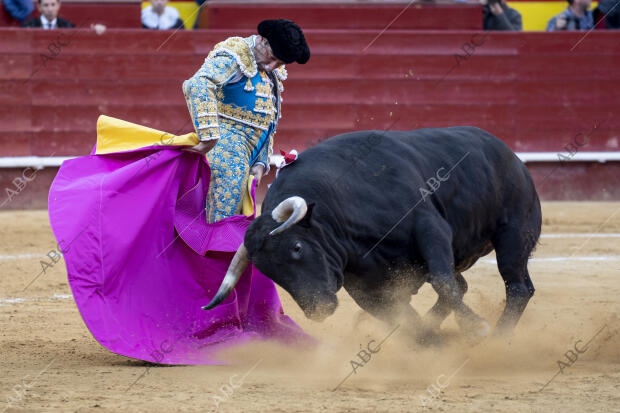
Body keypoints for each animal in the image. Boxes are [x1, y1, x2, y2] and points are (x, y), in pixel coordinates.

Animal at [202, 125, 536, 342]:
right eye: (268, 272)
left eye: (297, 247)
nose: (318, 309)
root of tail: (513, 158)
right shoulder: (361, 284)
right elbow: (402, 317)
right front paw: (429, 339)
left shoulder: (430, 228)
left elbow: (443, 282)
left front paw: (475, 328)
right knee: (466, 284)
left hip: (513, 233)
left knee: (517, 287)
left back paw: (498, 337)